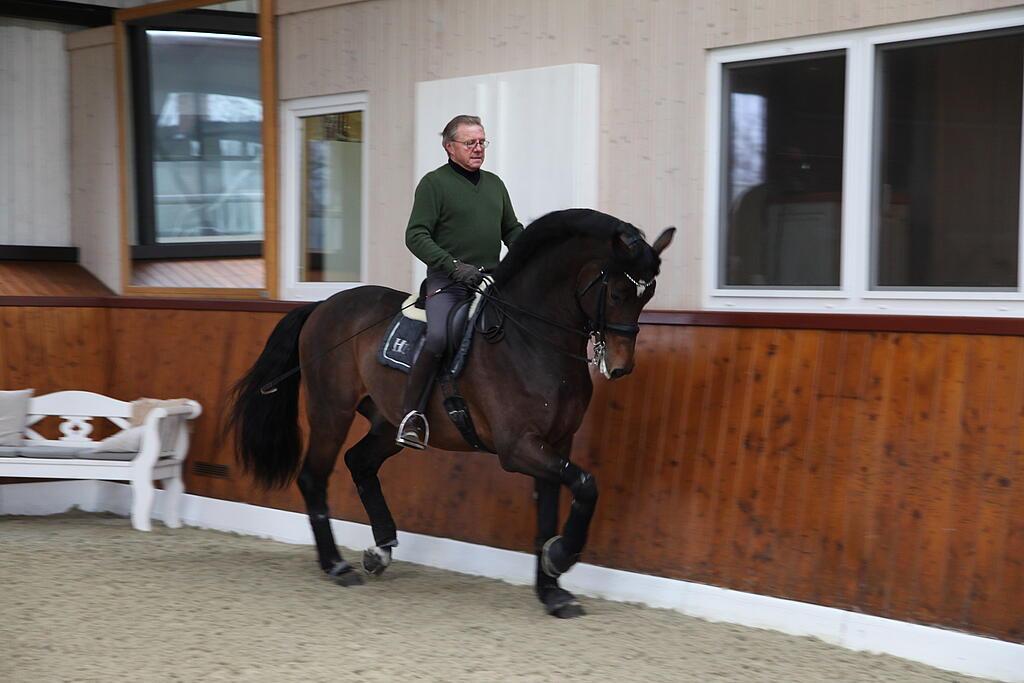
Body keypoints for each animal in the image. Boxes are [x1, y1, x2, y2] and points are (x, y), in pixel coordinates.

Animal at [229, 208, 675, 618]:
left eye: (647, 294)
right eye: (617, 293)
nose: (621, 366)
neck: (532, 340)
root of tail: (323, 306)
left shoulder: (555, 444)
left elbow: (551, 511)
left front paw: (552, 591)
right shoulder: (518, 448)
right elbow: (586, 485)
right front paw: (561, 556)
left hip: (386, 421)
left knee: (360, 462)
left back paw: (380, 550)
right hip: (330, 411)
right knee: (313, 477)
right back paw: (336, 565)